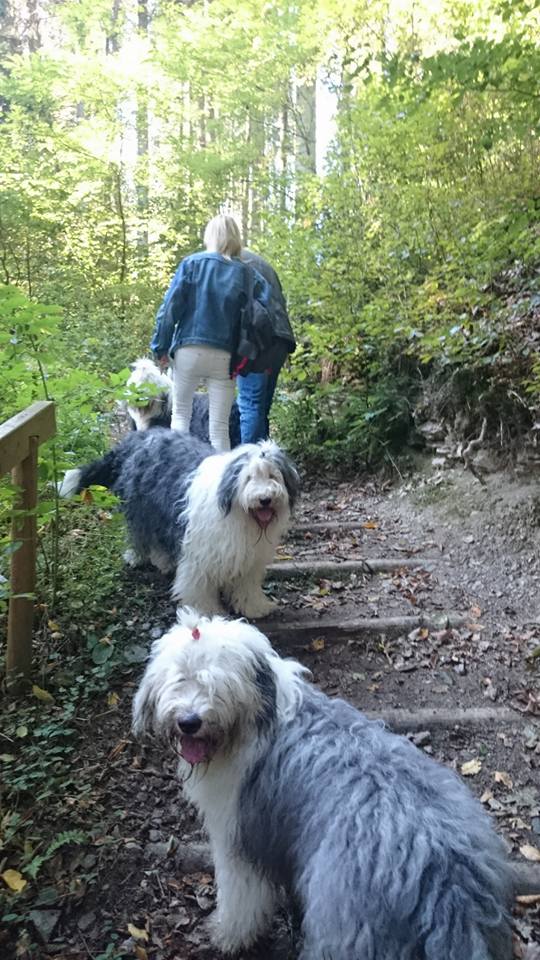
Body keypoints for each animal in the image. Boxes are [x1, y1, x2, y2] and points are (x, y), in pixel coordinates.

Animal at [59, 431, 299, 619]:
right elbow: (198, 584)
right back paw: (137, 557)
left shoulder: (249, 557)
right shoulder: (200, 553)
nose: (265, 499)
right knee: (140, 535)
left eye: (273, 476)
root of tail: (139, 437)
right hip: (142, 508)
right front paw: (205, 611)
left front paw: (255, 607)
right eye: (249, 478)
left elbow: (246, 584)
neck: (239, 515)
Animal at [133, 611, 514, 960]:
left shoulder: (239, 841)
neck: (258, 719)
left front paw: (227, 935)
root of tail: (445, 877)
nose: (189, 722)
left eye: (217, 684)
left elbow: (241, 897)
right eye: (181, 678)